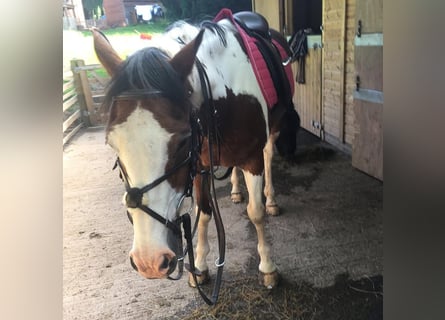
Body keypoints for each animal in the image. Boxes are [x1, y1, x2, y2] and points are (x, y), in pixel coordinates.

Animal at [92, 8, 300, 302]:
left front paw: (268, 268)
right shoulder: (199, 164)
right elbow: (203, 213)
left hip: (275, 126)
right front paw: (200, 267)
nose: (149, 260)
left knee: (270, 155)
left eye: (182, 141)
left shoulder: (251, 159)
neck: (225, 97)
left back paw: (271, 199)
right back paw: (235, 191)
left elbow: (256, 213)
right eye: (112, 144)